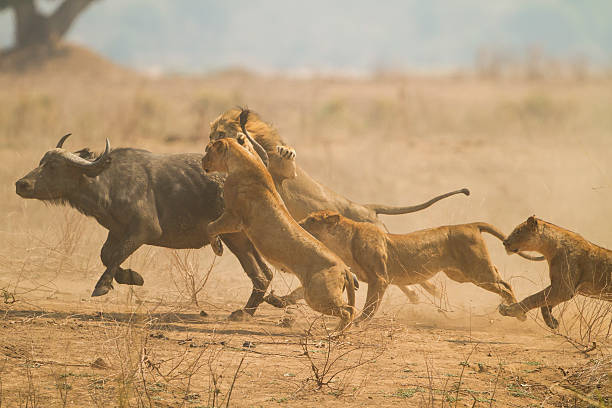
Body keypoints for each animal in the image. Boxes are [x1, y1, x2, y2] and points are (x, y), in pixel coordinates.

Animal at [15, 135, 272, 318]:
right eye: (41, 162)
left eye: (53, 166)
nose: (21, 184)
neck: (108, 182)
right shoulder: (116, 230)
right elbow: (106, 255)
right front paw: (132, 277)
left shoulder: (144, 231)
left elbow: (116, 254)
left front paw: (103, 286)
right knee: (266, 274)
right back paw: (254, 308)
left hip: (234, 237)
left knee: (259, 275)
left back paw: (244, 313)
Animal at [202, 137, 354, 332]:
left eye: (208, 150)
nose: (202, 161)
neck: (242, 161)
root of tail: (344, 268)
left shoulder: (234, 217)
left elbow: (210, 227)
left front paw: (217, 248)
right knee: (349, 309)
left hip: (317, 295)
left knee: (348, 311)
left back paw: (336, 333)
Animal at [210, 107, 468, 314]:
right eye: (212, 135)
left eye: (219, 133)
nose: (208, 143)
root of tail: (367, 208)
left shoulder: (284, 175)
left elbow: (285, 164)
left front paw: (285, 152)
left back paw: (432, 293)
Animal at [298, 210, 544, 322]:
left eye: (312, 220)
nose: (298, 223)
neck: (344, 241)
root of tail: (470, 224)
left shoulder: (380, 278)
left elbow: (370, 305)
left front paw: (359, 322)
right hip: (461, 274)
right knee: (501, 279)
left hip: (477, 272)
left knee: (505, 286)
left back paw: (519, 315)